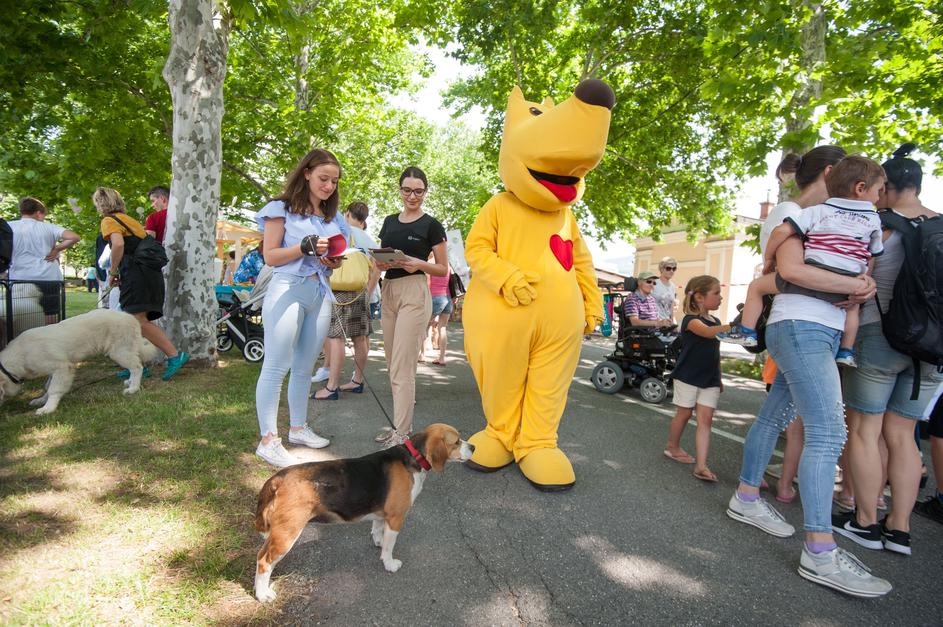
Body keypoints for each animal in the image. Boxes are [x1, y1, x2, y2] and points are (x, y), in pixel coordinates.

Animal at [0, 310, 159, 418]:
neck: (20, 355)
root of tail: (130, 317)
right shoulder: (53, 370)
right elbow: (47, 387)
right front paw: (41, 400)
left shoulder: (63, 367)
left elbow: (54, 389)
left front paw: (48, 408)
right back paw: (130, 382)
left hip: (119, 351)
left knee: (137, 367)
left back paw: (133, 388)